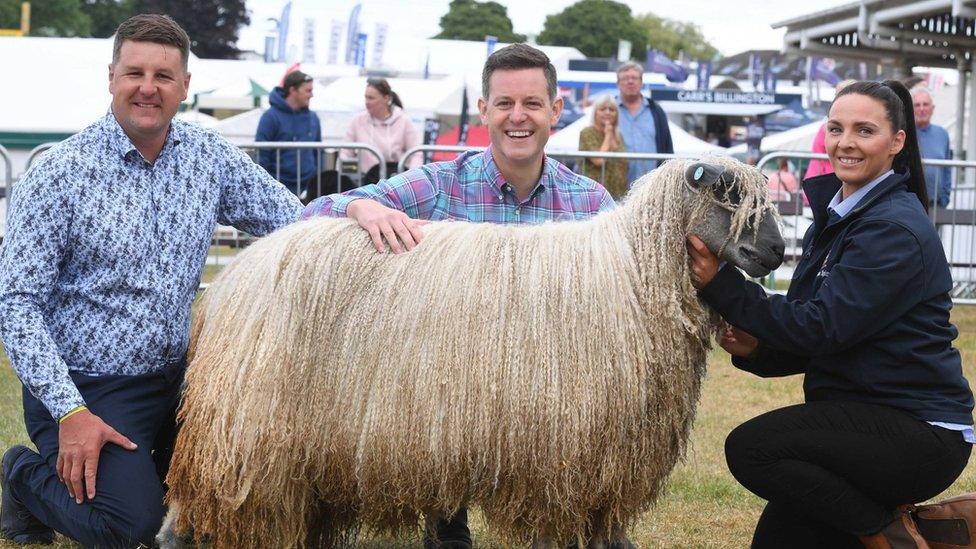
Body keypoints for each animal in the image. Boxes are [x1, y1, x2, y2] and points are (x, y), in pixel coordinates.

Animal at [160, 155, 784, 548]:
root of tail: (229, 282)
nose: (778, 252)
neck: (636, 269)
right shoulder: (560, 453)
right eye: (727, 196)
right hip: (247, 430)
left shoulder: (598, 460)